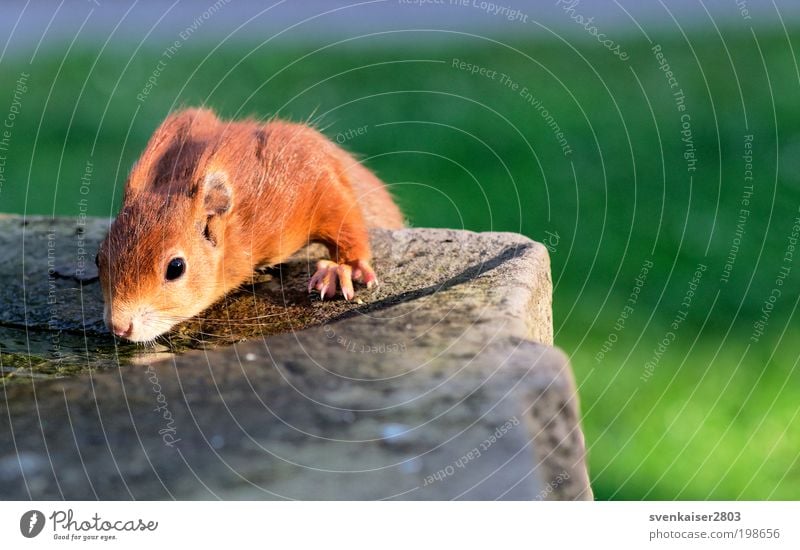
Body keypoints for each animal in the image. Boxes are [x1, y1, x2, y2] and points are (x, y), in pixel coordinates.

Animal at [96, 108, 404, 342]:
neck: (239, 223)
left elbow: (340, 211)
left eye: (175, 268)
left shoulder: (303, 175)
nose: (119, 327)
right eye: (98, 258)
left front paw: (343, 268)